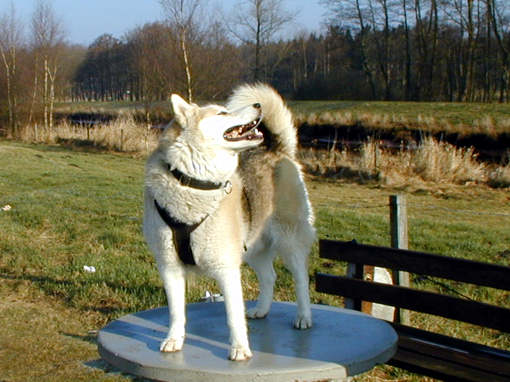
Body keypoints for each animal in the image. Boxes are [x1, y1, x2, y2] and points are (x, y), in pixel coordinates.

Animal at [142, 83, 314, 362]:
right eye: (222, 113)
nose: (258, 105)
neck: (191, 183)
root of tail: (276, 149)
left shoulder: (227, 269)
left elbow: (233, 316)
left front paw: (240, 348)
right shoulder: (169, 267)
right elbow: (176, 312)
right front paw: (174, 340)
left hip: (290, 242)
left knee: (301, 280)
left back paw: (304, 317)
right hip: (254, 248)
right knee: (269, 277)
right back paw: (262, 310)